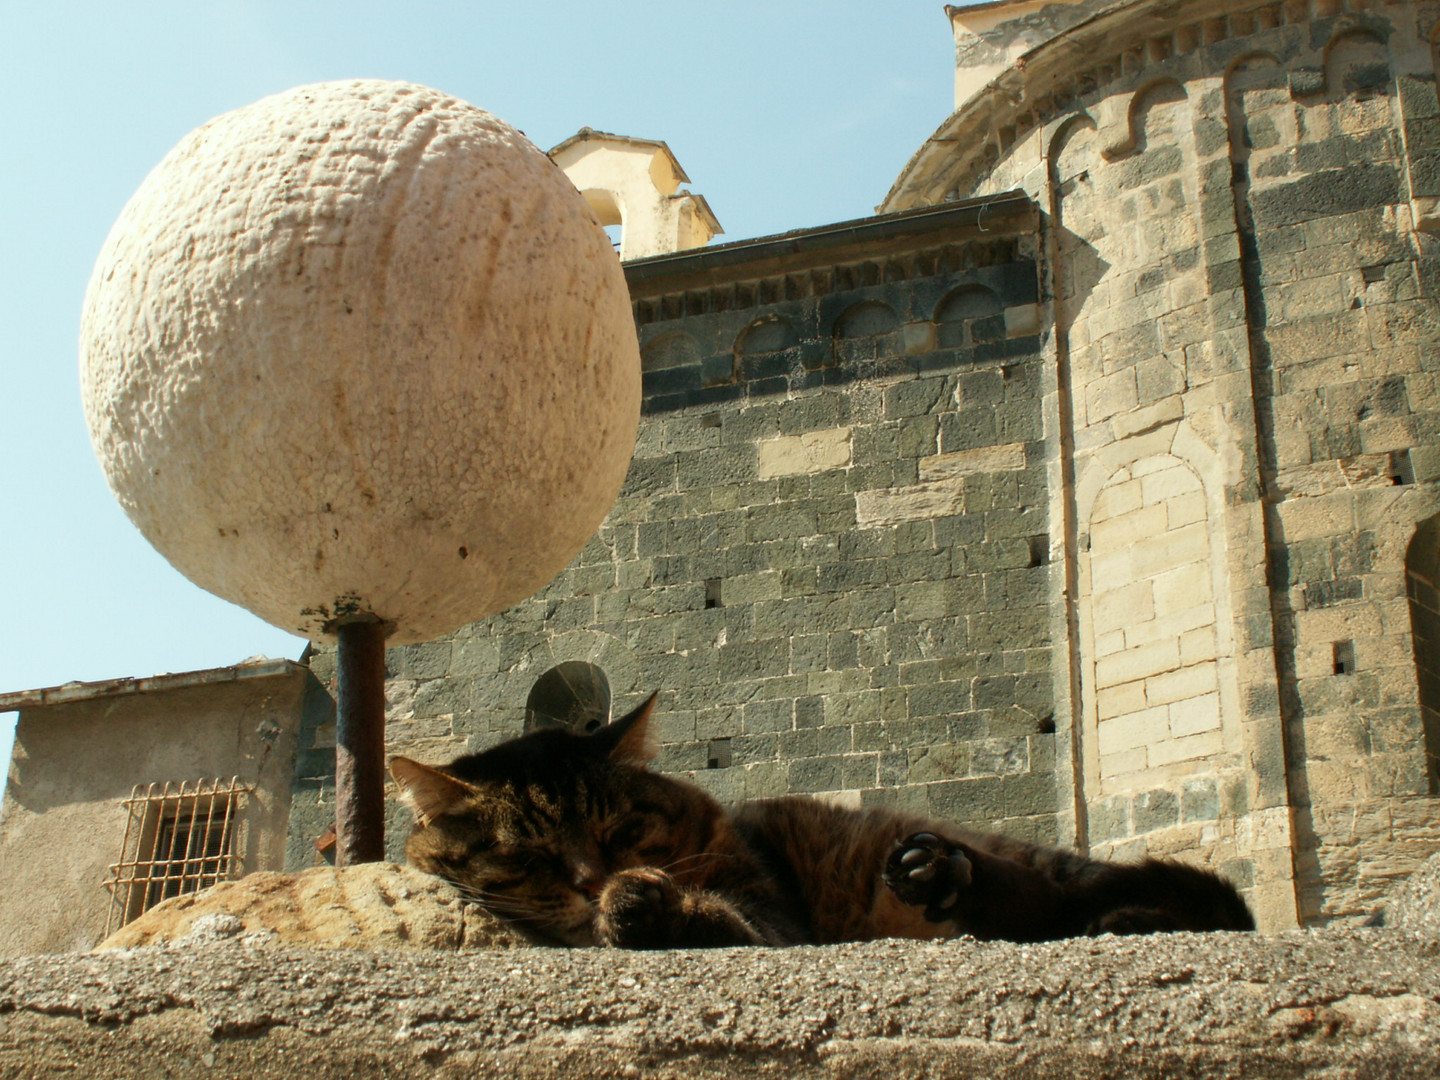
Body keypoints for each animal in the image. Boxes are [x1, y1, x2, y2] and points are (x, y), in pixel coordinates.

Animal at [388, 694, 1255, 944]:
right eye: (529, 855)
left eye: (622, 833)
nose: (591, 879)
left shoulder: (771, 913)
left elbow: (727, 920)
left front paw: (640, 903)